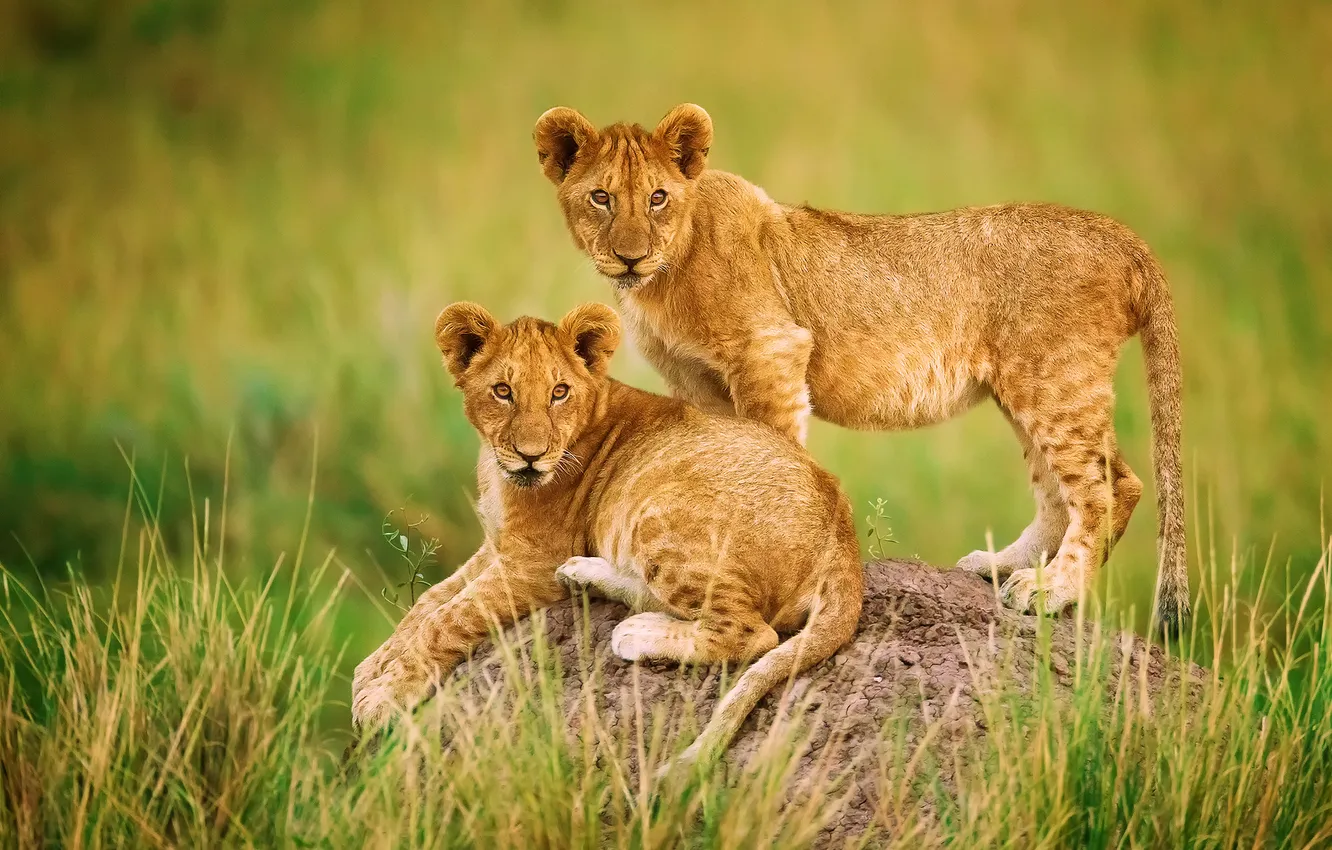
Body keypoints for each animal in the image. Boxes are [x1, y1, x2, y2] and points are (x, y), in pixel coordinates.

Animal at [351, 301, 863, 767]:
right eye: (502, 391)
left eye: (559, 392)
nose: (531, 456)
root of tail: (843, 534)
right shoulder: (498, 547)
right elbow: (430, 601)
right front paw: (372, 670)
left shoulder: (531, 562)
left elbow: (449, 618)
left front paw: (384, 696)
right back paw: (584, 575)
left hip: (662, 509)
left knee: (755, 633)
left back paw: (636, 633)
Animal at [533, 103, 1189, 632]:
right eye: (601, 198)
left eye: (657, 198)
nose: (629, 256)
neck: (664, 278)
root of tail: (1122, 236)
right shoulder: (699, 382)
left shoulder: (771, 349)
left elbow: (774, 445)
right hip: (1029, 385)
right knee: (1076, 488)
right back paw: (1004, 568)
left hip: (1054, 378)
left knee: (1105, 488)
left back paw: (1052, 592)